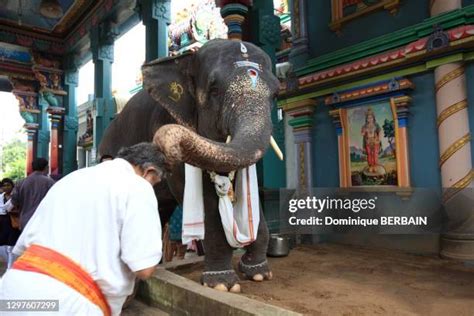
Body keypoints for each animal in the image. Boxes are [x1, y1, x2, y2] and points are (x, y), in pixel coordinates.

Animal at [99, 38, 278, 292]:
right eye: (214, 90)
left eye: (276, 94)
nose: (163, 147)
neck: (186, 58)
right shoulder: (167, 119)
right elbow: (205, 200)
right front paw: (222, 284)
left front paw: (259, 273)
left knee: (160, 208)